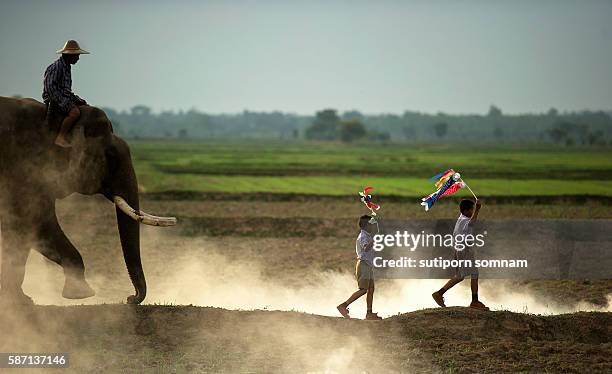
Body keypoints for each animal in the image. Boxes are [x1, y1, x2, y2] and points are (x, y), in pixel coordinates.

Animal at [0, 98, 177, 306]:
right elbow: (36, 224)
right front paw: (81, 294)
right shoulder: (23, 170)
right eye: (110, 157)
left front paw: (21, 301)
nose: (129, 298)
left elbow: (26, 233)